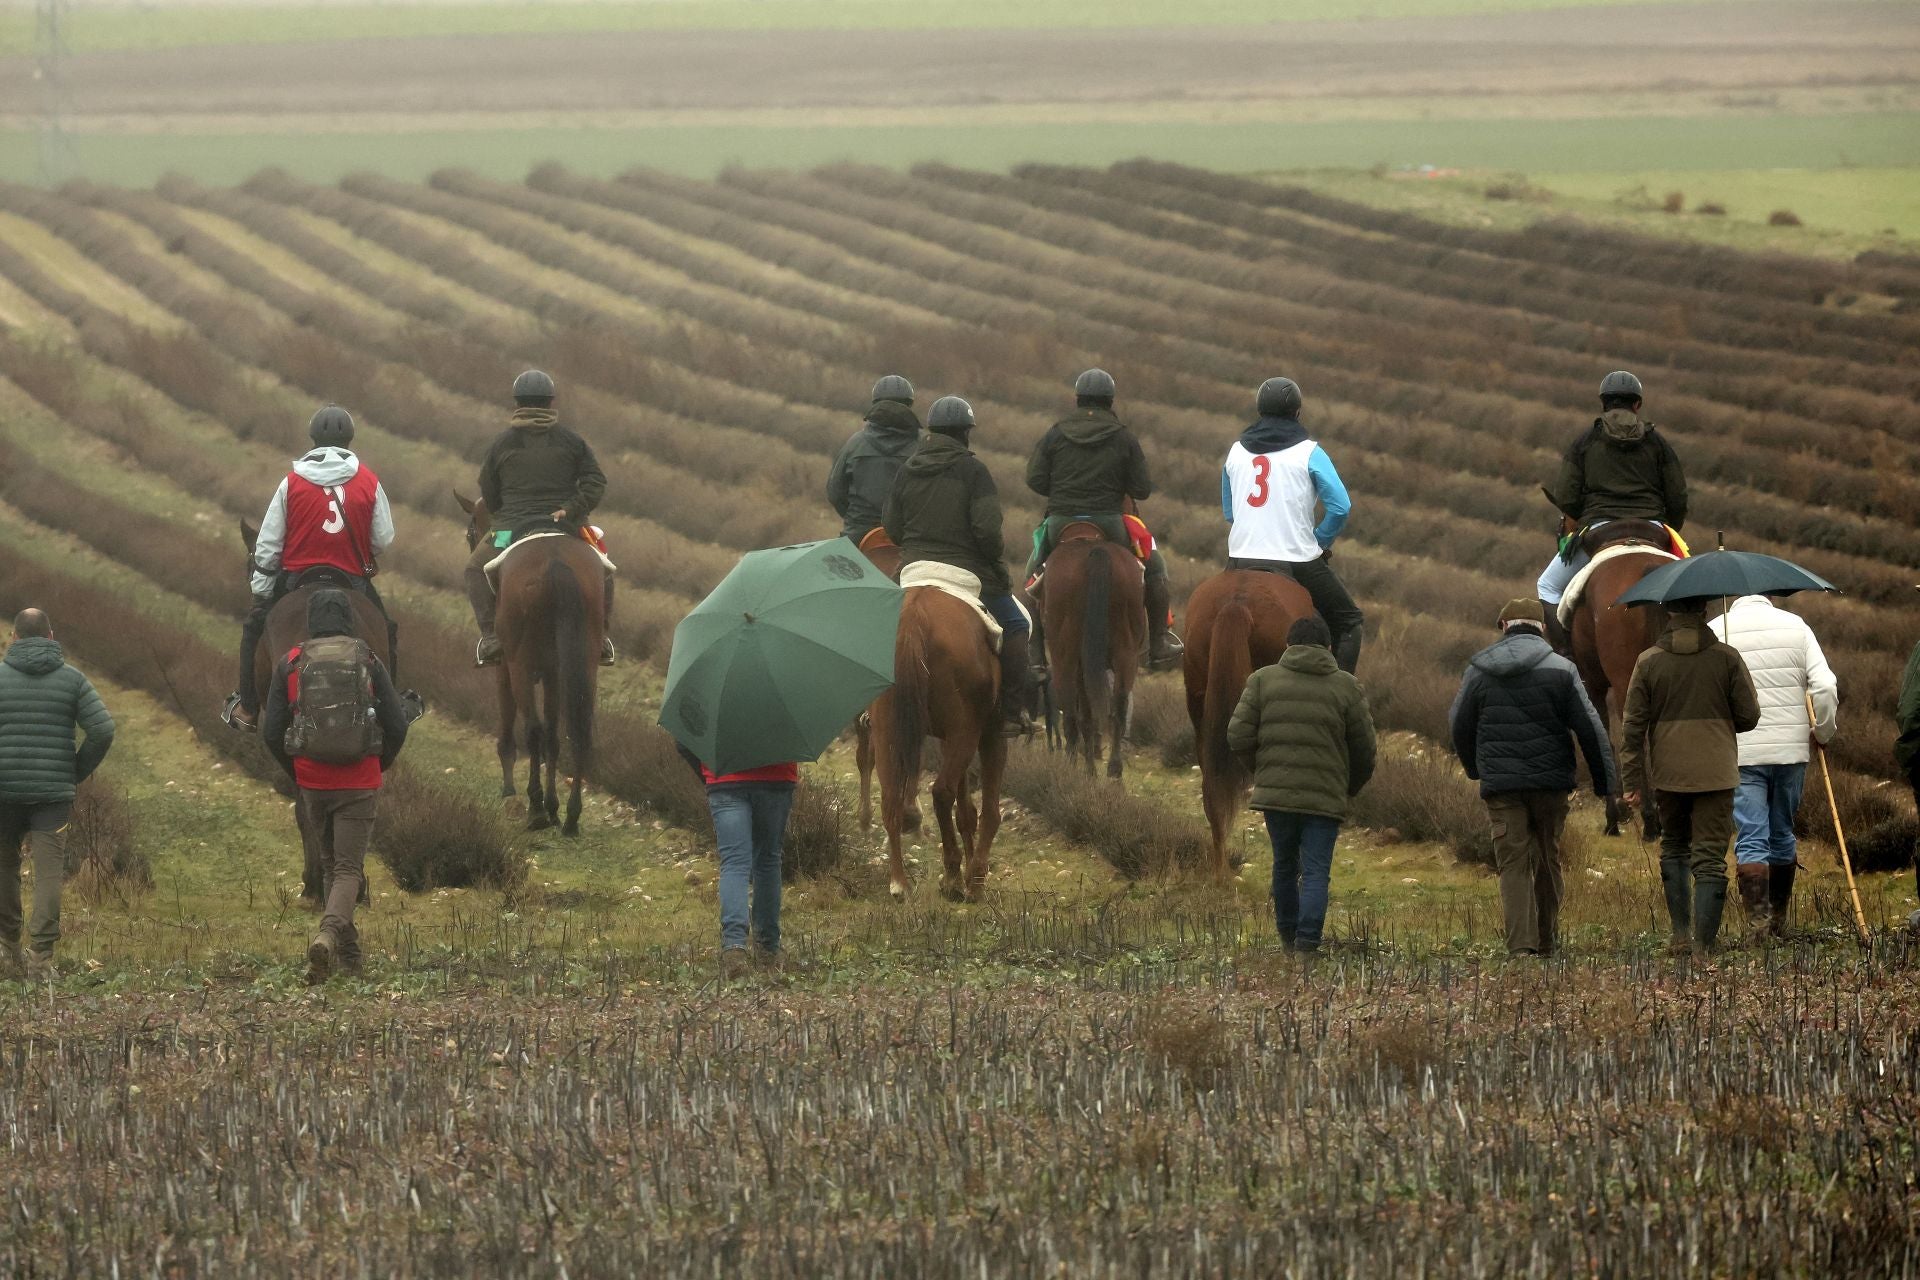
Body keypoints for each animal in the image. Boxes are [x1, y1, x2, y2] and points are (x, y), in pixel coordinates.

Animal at [456, 495, 599, 836]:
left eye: (471, 531)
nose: (475, 540)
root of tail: (556, 562)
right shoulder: (553, 674)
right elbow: (553, 735)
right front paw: (554, 807)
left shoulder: (504, 667)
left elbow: (512, 723)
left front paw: (512, 791)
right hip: (585, 662)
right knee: (579, 731)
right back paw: (571, 817)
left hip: (520, 663)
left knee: (532, 728)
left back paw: (534, 809)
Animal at [875, 587, 1013, 901]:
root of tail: (914, 615)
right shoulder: (989, 735)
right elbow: (989, 811)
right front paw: (975, 878)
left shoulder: (950, 739)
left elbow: (966, 812)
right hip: (967, 730)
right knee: (941, 792)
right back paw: (953, 878)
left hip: (886, 728)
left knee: (891, 798)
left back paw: (899, 882)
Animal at [1036, 521, 1136, 782]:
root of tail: (1094, 550)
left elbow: (1083, 715)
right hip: (1125, 653)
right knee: (1118, 705)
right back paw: (1113, 770)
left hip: (1065, 657)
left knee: (1072, 713)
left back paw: (1075, 767)